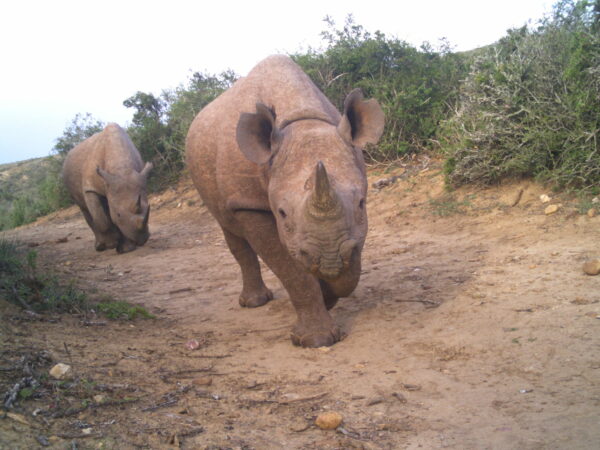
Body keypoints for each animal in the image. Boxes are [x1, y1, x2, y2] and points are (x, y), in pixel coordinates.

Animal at [62, 123, 152, 253]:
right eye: (118, 214)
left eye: (149, 208)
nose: (142, 240)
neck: (122, 169)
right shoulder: (90, 187)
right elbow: (100, 217)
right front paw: (111, 243)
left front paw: (126, 249)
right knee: (85, 209)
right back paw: (100, 246)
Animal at [186, 54, 384, 346]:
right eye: (281, 213)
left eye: (361, 203)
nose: (329, 256)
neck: (303, 122)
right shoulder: (248, 204)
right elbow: (290, 270)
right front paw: (316, 340)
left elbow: (348, 267)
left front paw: (328, 295)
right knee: (229, 229)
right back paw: (255, 303)